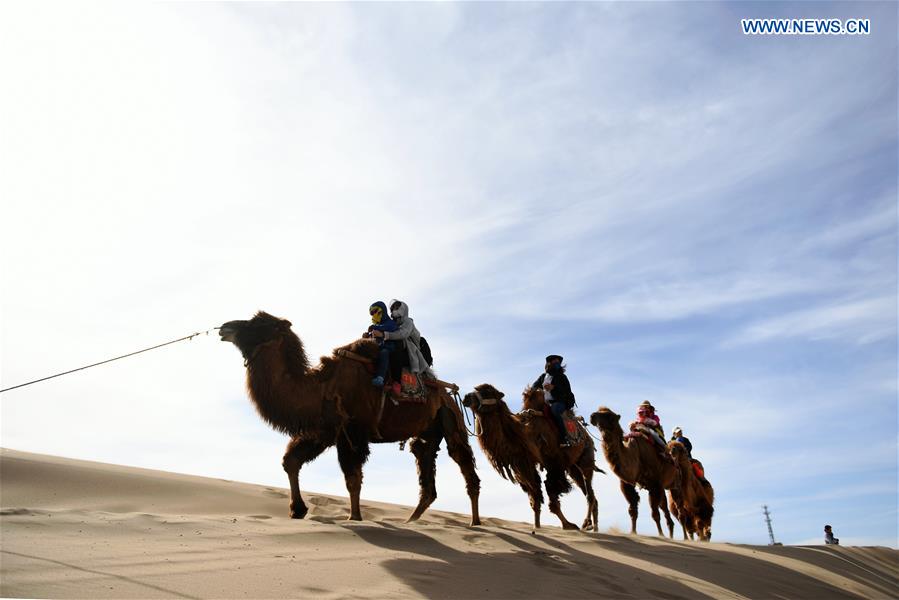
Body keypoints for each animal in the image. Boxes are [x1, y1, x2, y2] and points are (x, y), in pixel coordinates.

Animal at [219, 312, 482, 524]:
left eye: (259, 324)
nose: (224, 327)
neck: (321, 387)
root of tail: (447, 393)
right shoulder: (324, 430)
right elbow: (291, 461)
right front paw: (297, 510)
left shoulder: (353, 432)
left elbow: (352, 477)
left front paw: (354, 517)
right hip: (427, 432)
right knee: (425, 465)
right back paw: (411, 520)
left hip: (451, 419)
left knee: (463, 462)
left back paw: (474, 522)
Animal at [460, 384, 600, 528]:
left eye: (487, 392)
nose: (466, 397)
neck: (525, 435)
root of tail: (586, 434)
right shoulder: (525, 465)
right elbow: (535, 496)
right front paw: (537, 526)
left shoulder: (553, 464)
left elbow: (551, 494)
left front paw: (568, 525)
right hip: (573, 468)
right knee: (590, 493)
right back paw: (593, 526)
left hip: (586, 457)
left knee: (589, 492)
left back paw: (587, 522)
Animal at [592, 406, 676, 536]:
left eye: (608, 415)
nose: (592, 416)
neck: (636, 454)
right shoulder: (627, 483)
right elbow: (632, 510)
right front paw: (633, 532)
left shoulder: (654, 484)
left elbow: (655, 513)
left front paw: (661, 535)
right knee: (664, 507)